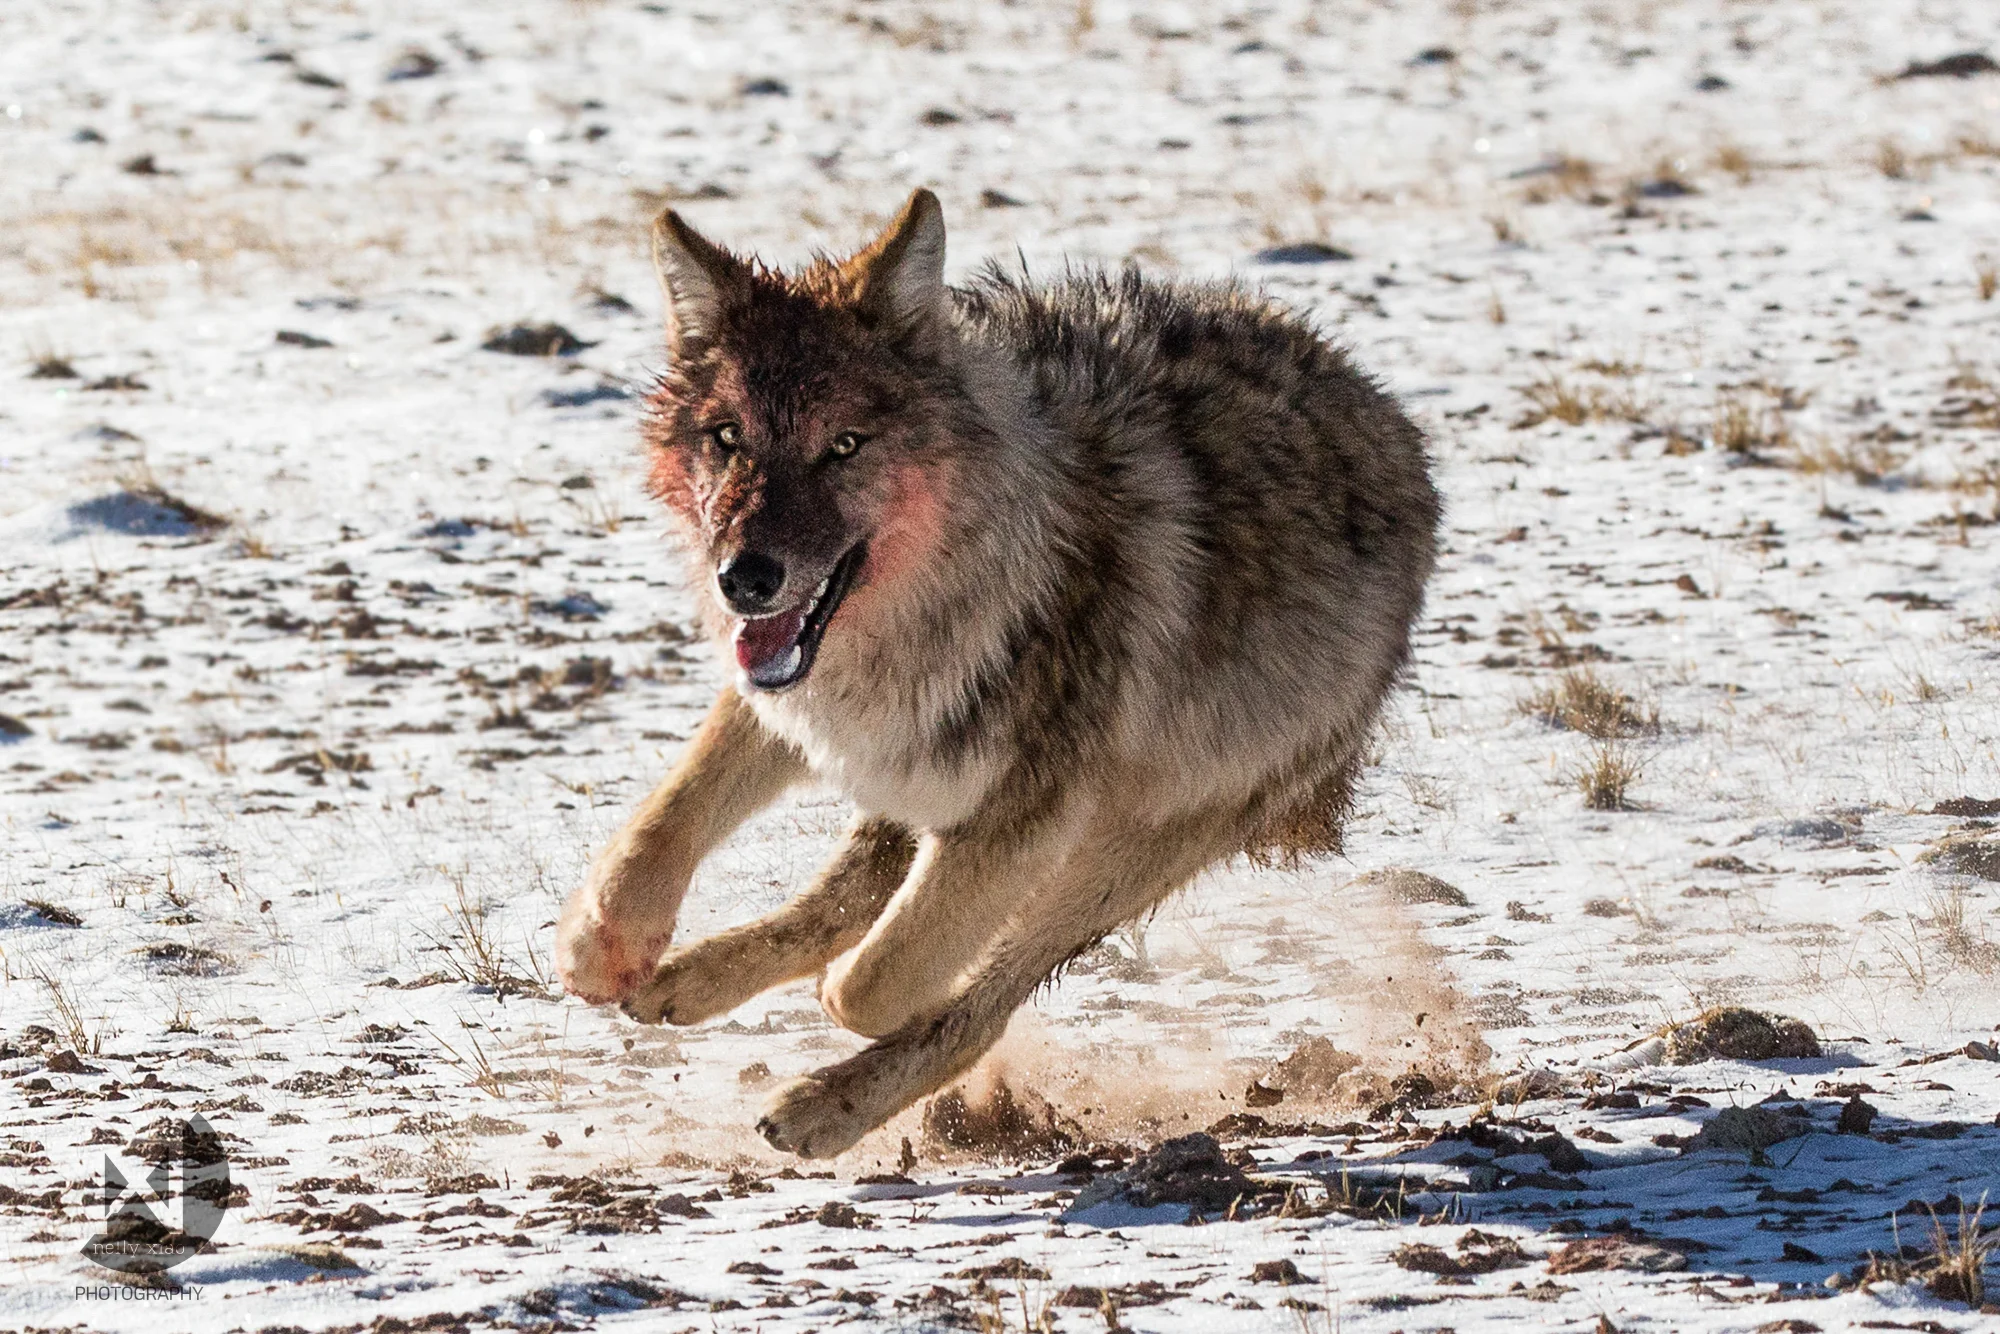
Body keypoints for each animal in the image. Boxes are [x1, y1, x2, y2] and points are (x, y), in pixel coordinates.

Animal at [556, 188, 1448, 1160]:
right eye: (727, 438)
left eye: (844, 446)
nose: (745, 578)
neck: (960, 602)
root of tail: (1398, 430)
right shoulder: (803, 704)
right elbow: (658, 830)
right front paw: (602, 948)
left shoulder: (1025, 816)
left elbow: (876, 983)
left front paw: (840, 999)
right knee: (848, 894)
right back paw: (688, 982)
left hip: (1116, 853)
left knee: (977, 1007)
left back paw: (825, 1107)